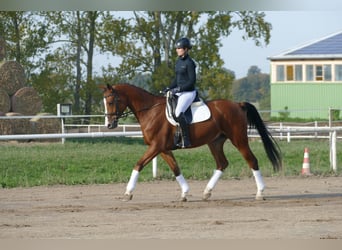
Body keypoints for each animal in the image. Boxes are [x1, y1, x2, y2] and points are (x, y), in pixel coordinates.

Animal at [102, 83, 284, 201]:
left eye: (110, 102)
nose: (109, 125)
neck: (150, 111)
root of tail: (238, 105)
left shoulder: (156, 147)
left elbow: (138, 164)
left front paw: (128, 193)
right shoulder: (163, 149)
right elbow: (175, 168)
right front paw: (184, 193)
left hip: (239, 140)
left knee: (252, 160)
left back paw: (260, 193)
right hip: (215, 142)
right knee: (222, 163)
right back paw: (207, 192)